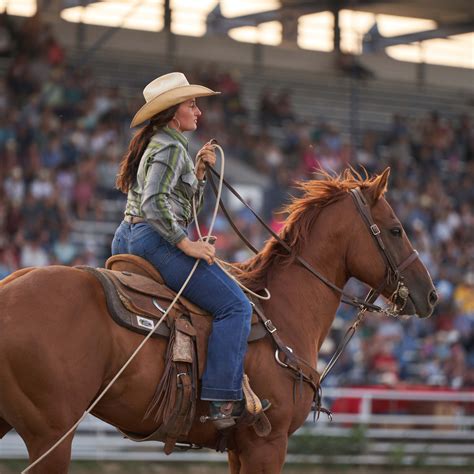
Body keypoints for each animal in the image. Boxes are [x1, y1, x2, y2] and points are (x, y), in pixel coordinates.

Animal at [0, 168, 436, 472]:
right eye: (396, 230)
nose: (430, 294)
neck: (283, 312)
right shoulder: (267, 444)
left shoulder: (240, 449)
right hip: (52, 435)